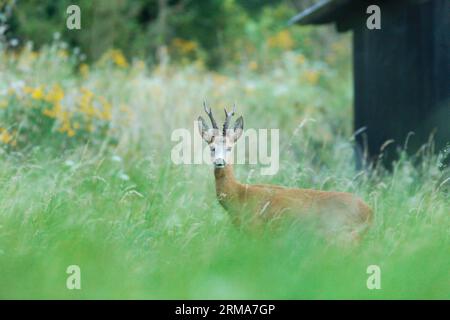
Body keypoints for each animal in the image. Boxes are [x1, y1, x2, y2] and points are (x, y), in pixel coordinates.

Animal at [198, 103, 372, 242]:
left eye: (229, 147)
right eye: (212, 147)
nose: (220, 162)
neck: (239, 196)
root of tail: (370, 212)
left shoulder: (256, 229)